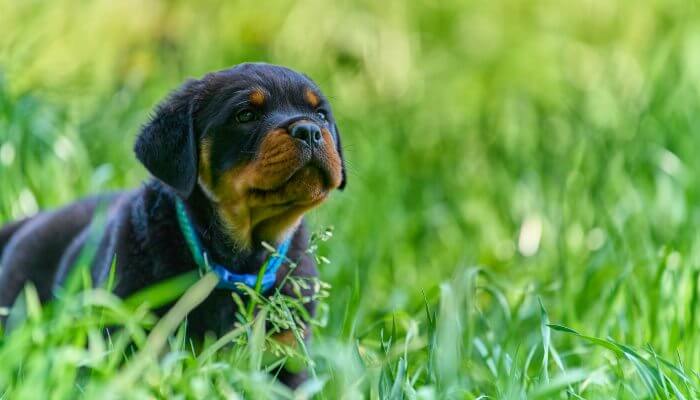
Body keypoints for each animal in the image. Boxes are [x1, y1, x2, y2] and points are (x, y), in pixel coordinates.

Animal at [0, 63, 344, 388]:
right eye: (245, 114)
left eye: (321, 114)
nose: (309, 129)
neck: (240, 261)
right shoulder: (132, 337)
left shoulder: (286, 353)